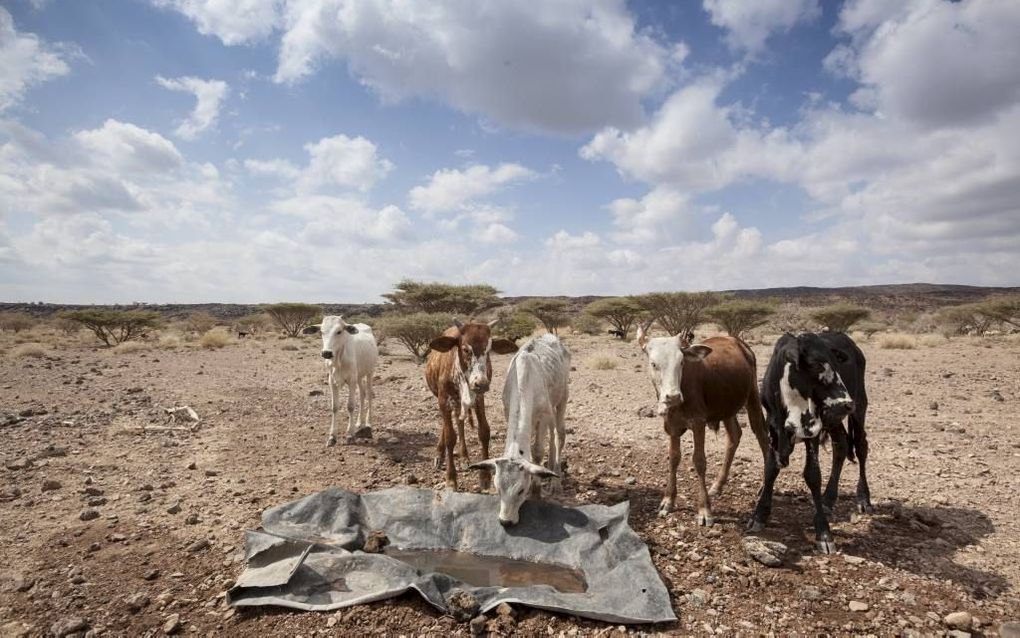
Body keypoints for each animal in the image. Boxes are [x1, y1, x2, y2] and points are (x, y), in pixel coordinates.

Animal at [306, 316, 383, 445]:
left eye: (339, 331)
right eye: (321, 332)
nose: (326, 353)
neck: (338, 360)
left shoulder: (351, 380)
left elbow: (350, 406)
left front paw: (350, 434)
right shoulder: (332, 381)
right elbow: (334, 407)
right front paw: (332, 436)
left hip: (370, 372)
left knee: (369, 394)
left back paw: (368, 423)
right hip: (359, 376)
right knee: (362, 394)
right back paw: (359, 422)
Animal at [424, 320, 518, 489]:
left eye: (489, 349)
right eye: (465, 349)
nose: (481, 383)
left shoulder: (479, 398)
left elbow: (484, 432)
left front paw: (485, 477)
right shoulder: (443, 400)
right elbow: (449, 437)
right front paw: (451, 478)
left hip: (459, 404)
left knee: (460, 424)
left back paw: (464, 457)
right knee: (447, 427)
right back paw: (439, 455)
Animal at [467, 330, 571, 526]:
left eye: (522, 490)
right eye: (497, 489)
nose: (505, 521)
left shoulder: (543, 415)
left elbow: (537, 451)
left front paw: (537, 491)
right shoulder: (508, 410)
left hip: (562, 398)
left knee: (558, 435)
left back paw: (556, 482)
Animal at [636, 326, 767, 526]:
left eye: (681, 362)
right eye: (654, 364)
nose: (673, 396)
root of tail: (736, 341)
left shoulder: (698, 423)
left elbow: (699, 461)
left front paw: (704, 509)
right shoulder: (671, 426)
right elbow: (674, 458)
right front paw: (668, 500)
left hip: (752, 396)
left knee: (762, 435)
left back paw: (765, 488)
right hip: (726, 407)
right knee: (734, 436)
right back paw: (717, 486)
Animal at [750, 332, 869, 551]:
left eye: (836, 365)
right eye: (815, 365)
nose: (846, 404)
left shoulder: (812, 429)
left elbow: (813, 475)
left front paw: (823, 532)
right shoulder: (773, 427)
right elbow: (770, 469)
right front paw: (759, 515)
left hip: (860, 406)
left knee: (861, 447)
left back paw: (863, 498)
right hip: (834, 420)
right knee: (841, 446)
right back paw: (828, 499)